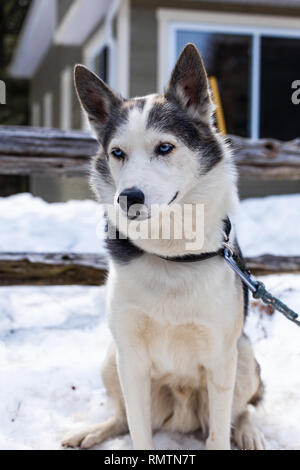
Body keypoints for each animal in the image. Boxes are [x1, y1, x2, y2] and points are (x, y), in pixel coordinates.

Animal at [62, 45, 264, 452]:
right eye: (117, 153)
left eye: (165, 147)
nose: (128, 197)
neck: (170, 251)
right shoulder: (131, 359)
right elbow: (138, 430)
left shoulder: (221, 357)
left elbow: (220, 434)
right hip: (111, 358)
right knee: (121, 417)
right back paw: (89, 431)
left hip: (244, 355)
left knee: (244, 409)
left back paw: (250, 433)